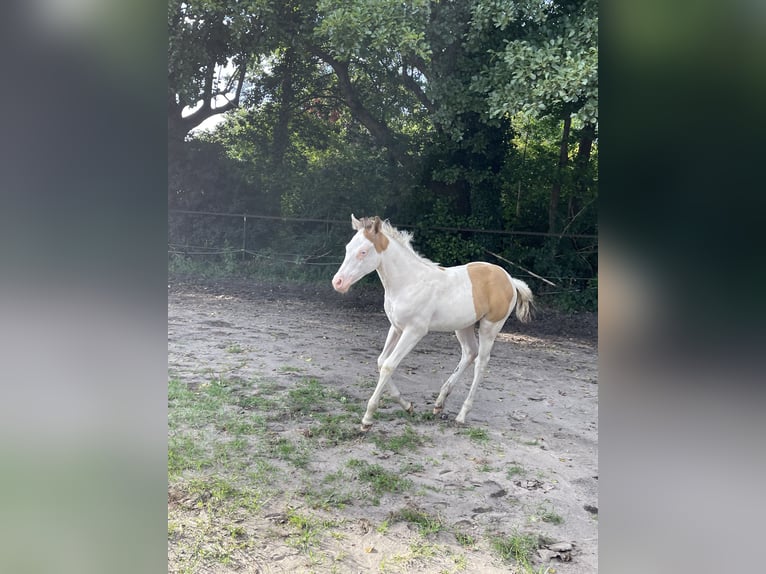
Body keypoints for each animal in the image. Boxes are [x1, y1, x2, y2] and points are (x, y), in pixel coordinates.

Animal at [330, 216, 536, 432]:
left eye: (363, 251)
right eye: (347, 248)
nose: (338, 282)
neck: (408, 282)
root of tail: (510, 279)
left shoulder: (414, 331)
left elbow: (389, 365)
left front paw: (368, 419)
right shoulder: (396, 327)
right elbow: (381, 361)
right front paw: (407, 406)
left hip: (490, 327)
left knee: (481, 362)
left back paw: (462, 414)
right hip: (463, 325)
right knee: (469, 353)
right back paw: (439, 403)